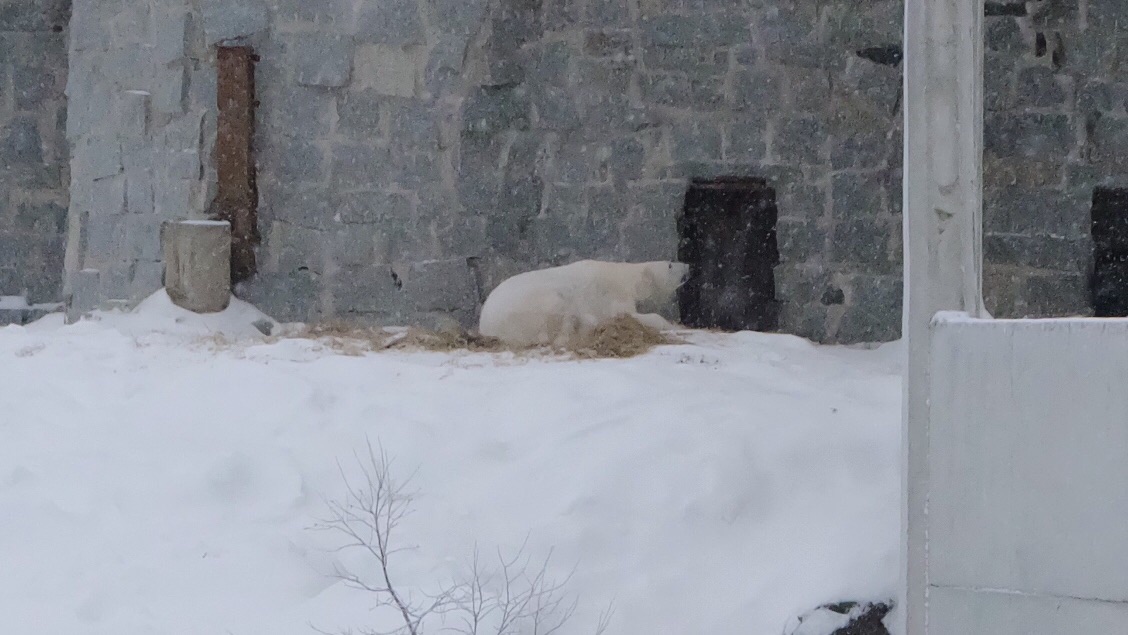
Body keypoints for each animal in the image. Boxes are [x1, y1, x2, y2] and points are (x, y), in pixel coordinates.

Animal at [476, 258, 685, 347]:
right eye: (669, 264)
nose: (688, 266)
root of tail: (485, 325)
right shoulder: (610, 296)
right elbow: (624, 314)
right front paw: (670, 324)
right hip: (529, 306)